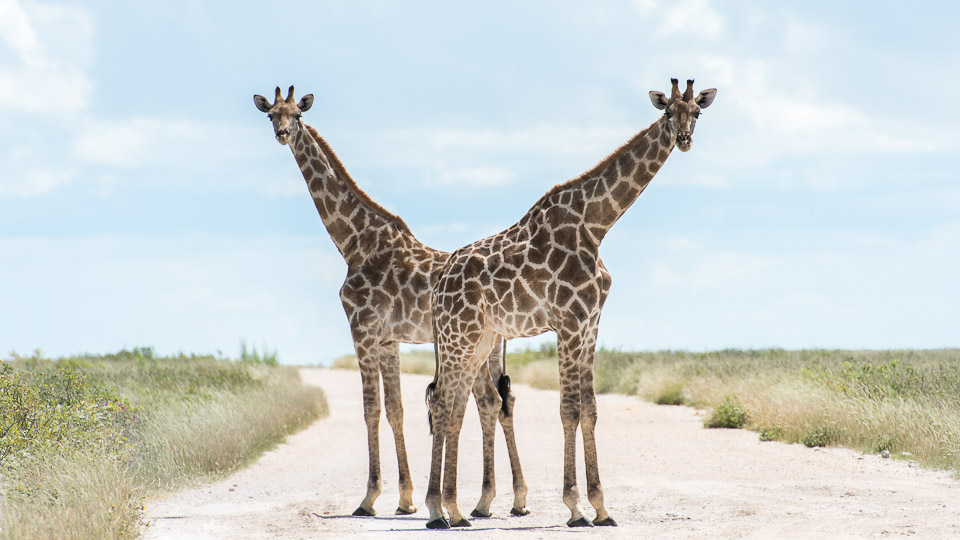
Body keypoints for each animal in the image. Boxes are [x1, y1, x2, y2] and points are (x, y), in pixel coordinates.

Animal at [251, 85, 528, 520]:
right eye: (270, 115)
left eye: (297, 115)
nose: (282, 134)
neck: (354, 243)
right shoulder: (387, 339)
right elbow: (395, 409)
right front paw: (405, 499)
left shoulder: (362, 328)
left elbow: (371, 408)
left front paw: (369, 499)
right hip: (489, 346)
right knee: (498, 402)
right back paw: (503, 501)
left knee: (490, 402)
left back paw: (492, 501)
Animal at [424, 80, 716, 528]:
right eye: (668, 113)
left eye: (696, 113)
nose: (683, 139)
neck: (596, 225)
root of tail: (439, 284)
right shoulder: (568, 323)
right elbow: (568, 409)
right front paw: (576, 506)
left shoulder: (591, 323)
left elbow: (591, 409)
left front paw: (602, 507)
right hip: (459, 335)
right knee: (442, 401)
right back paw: (439, 509)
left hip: (480, 338)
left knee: (454, 405)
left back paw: (452, 510)